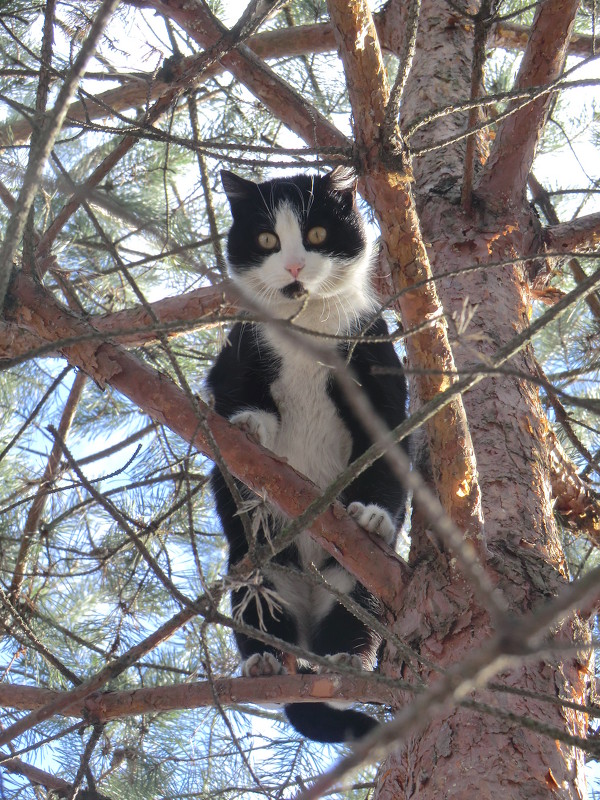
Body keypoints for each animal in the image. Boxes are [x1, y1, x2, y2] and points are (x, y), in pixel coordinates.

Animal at [206, 167, 408, 744]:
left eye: (317, 234)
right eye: (266, 240)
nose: (295, 265)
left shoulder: (377, 359)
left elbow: (388, 451)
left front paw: (373, 516)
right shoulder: (235, 353)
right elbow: (230, 397)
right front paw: (250, 426)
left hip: (361, 585)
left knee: (353, 626)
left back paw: (344, 662)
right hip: (256, 569)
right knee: (258, 609)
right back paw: (265, 665)